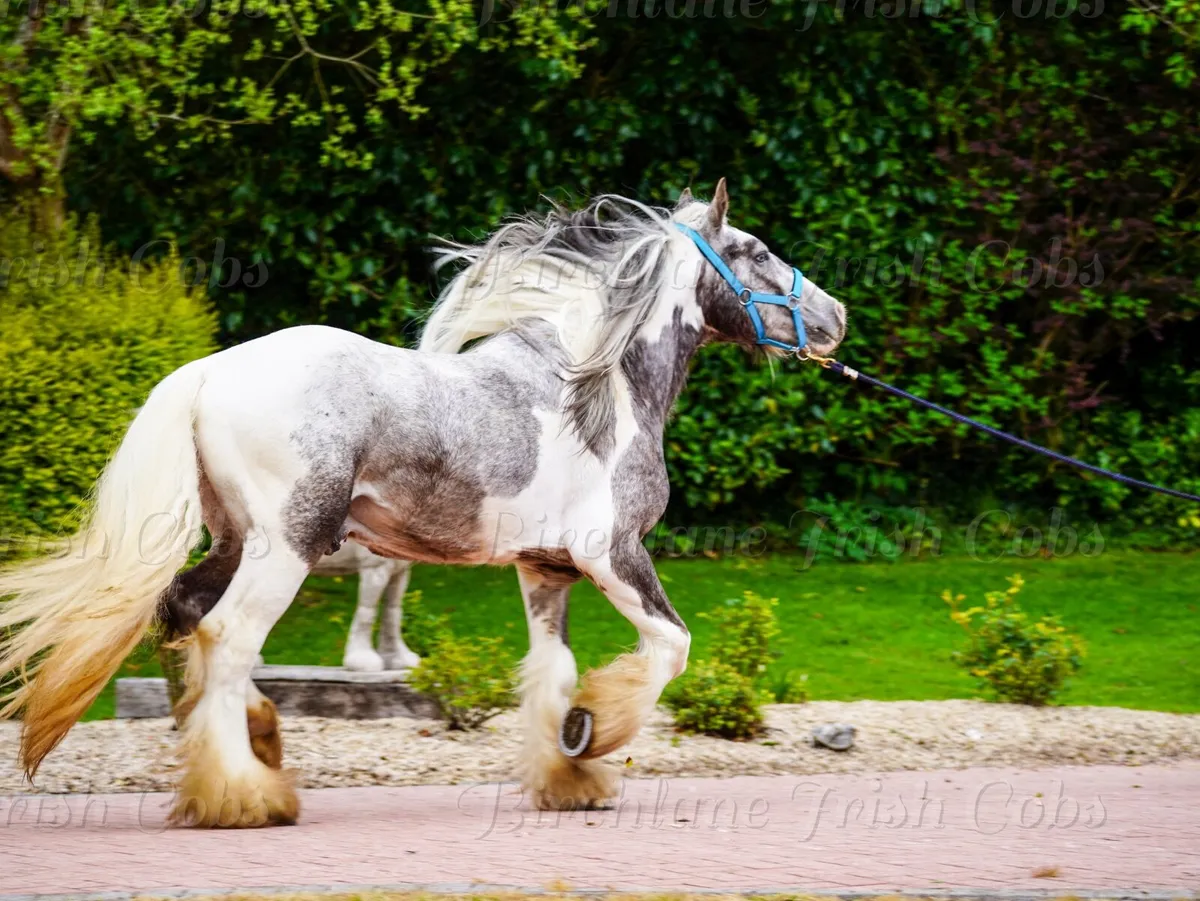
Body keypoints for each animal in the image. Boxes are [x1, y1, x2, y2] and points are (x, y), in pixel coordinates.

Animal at [0, 179, 846, 827]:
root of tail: (207, 371)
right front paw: (595, 731)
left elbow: (554, 667)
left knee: (180, 615)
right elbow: (669, 646)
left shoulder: (546, 570)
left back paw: (251, 742)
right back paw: (244, 793)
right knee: (227, 637)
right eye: (757, 250)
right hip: (285, 546)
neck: (597, 390)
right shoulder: (615, 555)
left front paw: (569, 776)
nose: (835, 318)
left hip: (232, 539)